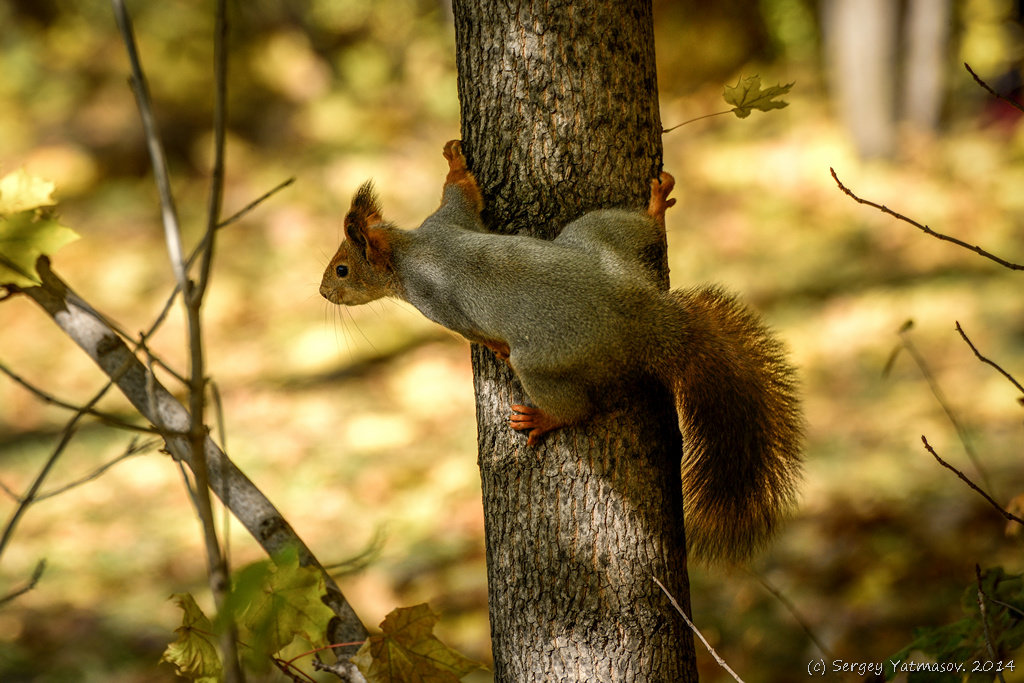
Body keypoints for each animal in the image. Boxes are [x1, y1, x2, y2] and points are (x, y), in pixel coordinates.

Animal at [317, 140, 798, 565]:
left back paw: (543, 417)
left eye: (341, 269)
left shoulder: (438, 303)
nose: (322, 292)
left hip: (545, 361)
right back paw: (656, 207)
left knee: (577, 407)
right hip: (597, 238)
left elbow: (476, 333)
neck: (411, 251)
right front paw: (455, 161)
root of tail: (641, 319)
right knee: (635, 230)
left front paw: (496, 347)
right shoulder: (447, 221)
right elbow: (462, 195)